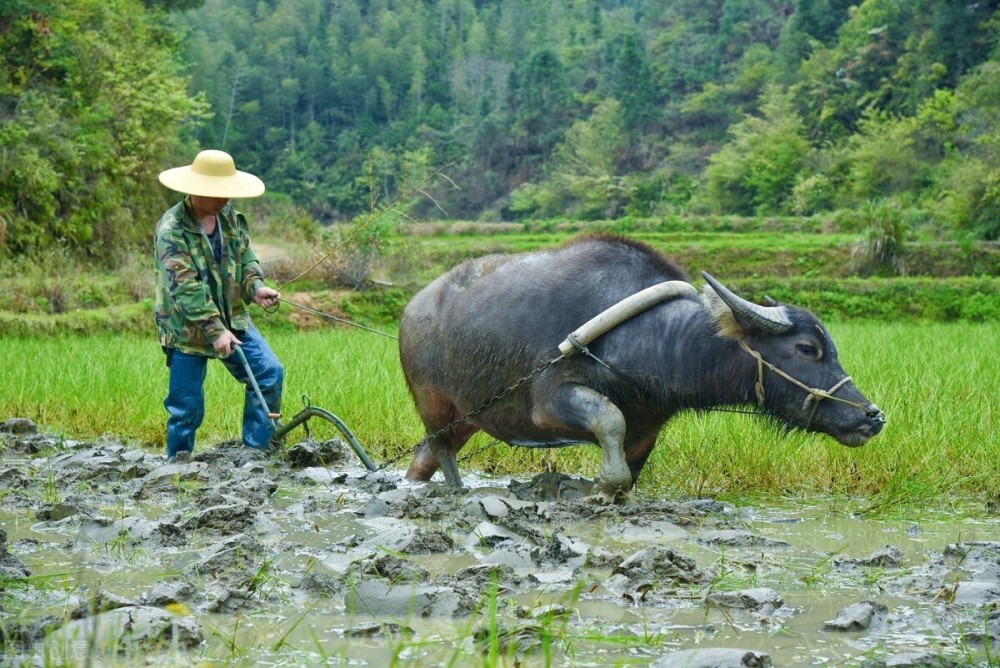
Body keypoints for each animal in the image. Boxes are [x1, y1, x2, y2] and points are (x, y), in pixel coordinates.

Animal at [398, 235, 884, 500]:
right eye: (806, 349)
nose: (871, 416)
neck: (658, 342)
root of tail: (413, 307)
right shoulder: (551, 401)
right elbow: (609, 422)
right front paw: (597, 488)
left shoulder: (647, 428)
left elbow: (630, 471)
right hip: (432, 401)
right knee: (441, 449)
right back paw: (457, 491)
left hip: (470, 414)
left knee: (427, 455)